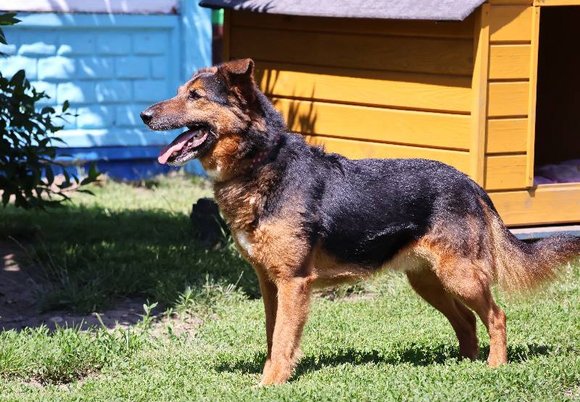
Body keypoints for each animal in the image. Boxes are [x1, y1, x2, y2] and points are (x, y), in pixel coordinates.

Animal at [141, 58, 580, 385]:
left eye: (195, 96)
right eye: (181, 91)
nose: (144, 115)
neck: (262, 163)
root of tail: (472, 184)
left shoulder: (293, 283)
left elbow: (282, 340)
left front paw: (270, 384)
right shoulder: (269, 284)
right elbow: (273, 336)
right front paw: (273, 375)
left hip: (461, 277)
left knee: (496, 316)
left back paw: (494, 367)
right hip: (428, 281)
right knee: (469, 321)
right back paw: (464, 366)